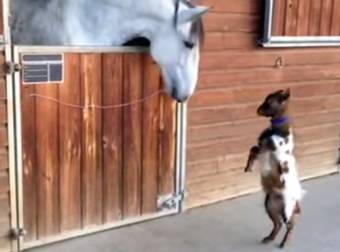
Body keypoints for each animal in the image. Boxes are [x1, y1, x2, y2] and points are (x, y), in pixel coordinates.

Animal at [244, 88, 306, 248]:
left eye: (270, 101)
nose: (258, 110)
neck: (279, 129)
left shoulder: (265, 149)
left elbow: (253, 149)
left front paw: (248, 167)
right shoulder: (262, 147)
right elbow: (252, 149)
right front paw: (248, 167)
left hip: (286, 209)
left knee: (289, 224)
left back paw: (283, 243)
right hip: (270, 205)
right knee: (277, 224)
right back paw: (269, 238)